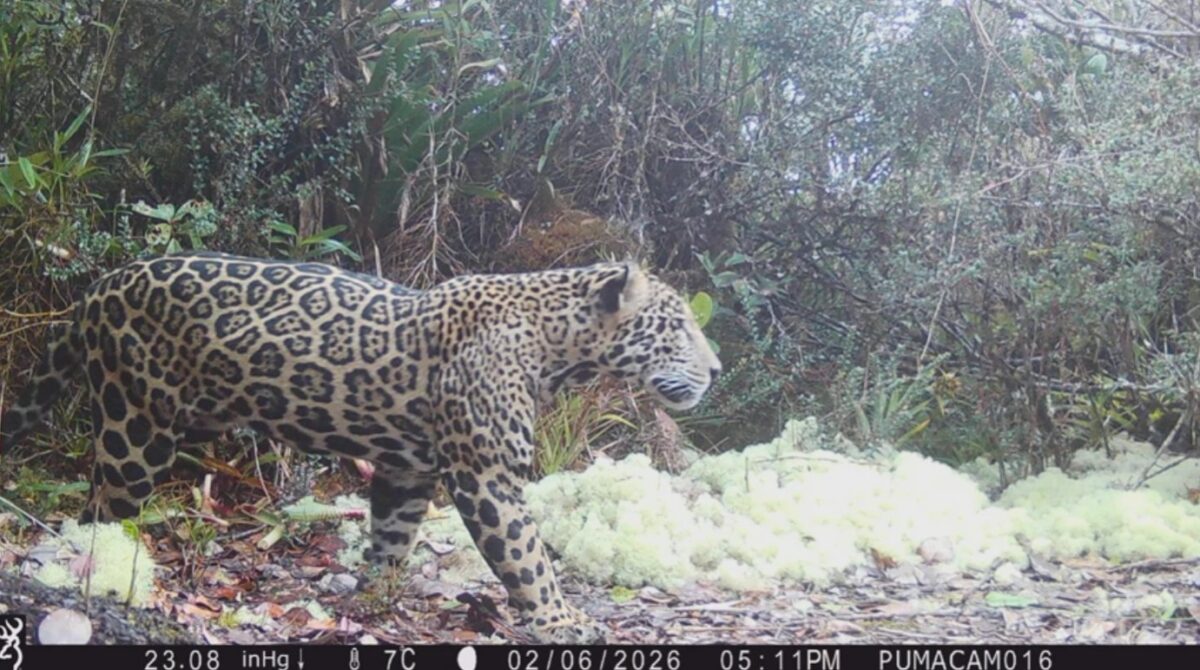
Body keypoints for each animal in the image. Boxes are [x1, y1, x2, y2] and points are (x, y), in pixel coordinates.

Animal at [0, 252, 721, 643]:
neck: (557, 348)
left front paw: (376, 595)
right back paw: (107, 571)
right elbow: (527, 557)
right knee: (102, 509)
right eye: (678, 327)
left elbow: (393, 535)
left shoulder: (408, 468)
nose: (716, 370)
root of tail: (98, 287)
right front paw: (561, 619)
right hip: (137, 426)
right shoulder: (486, 475)